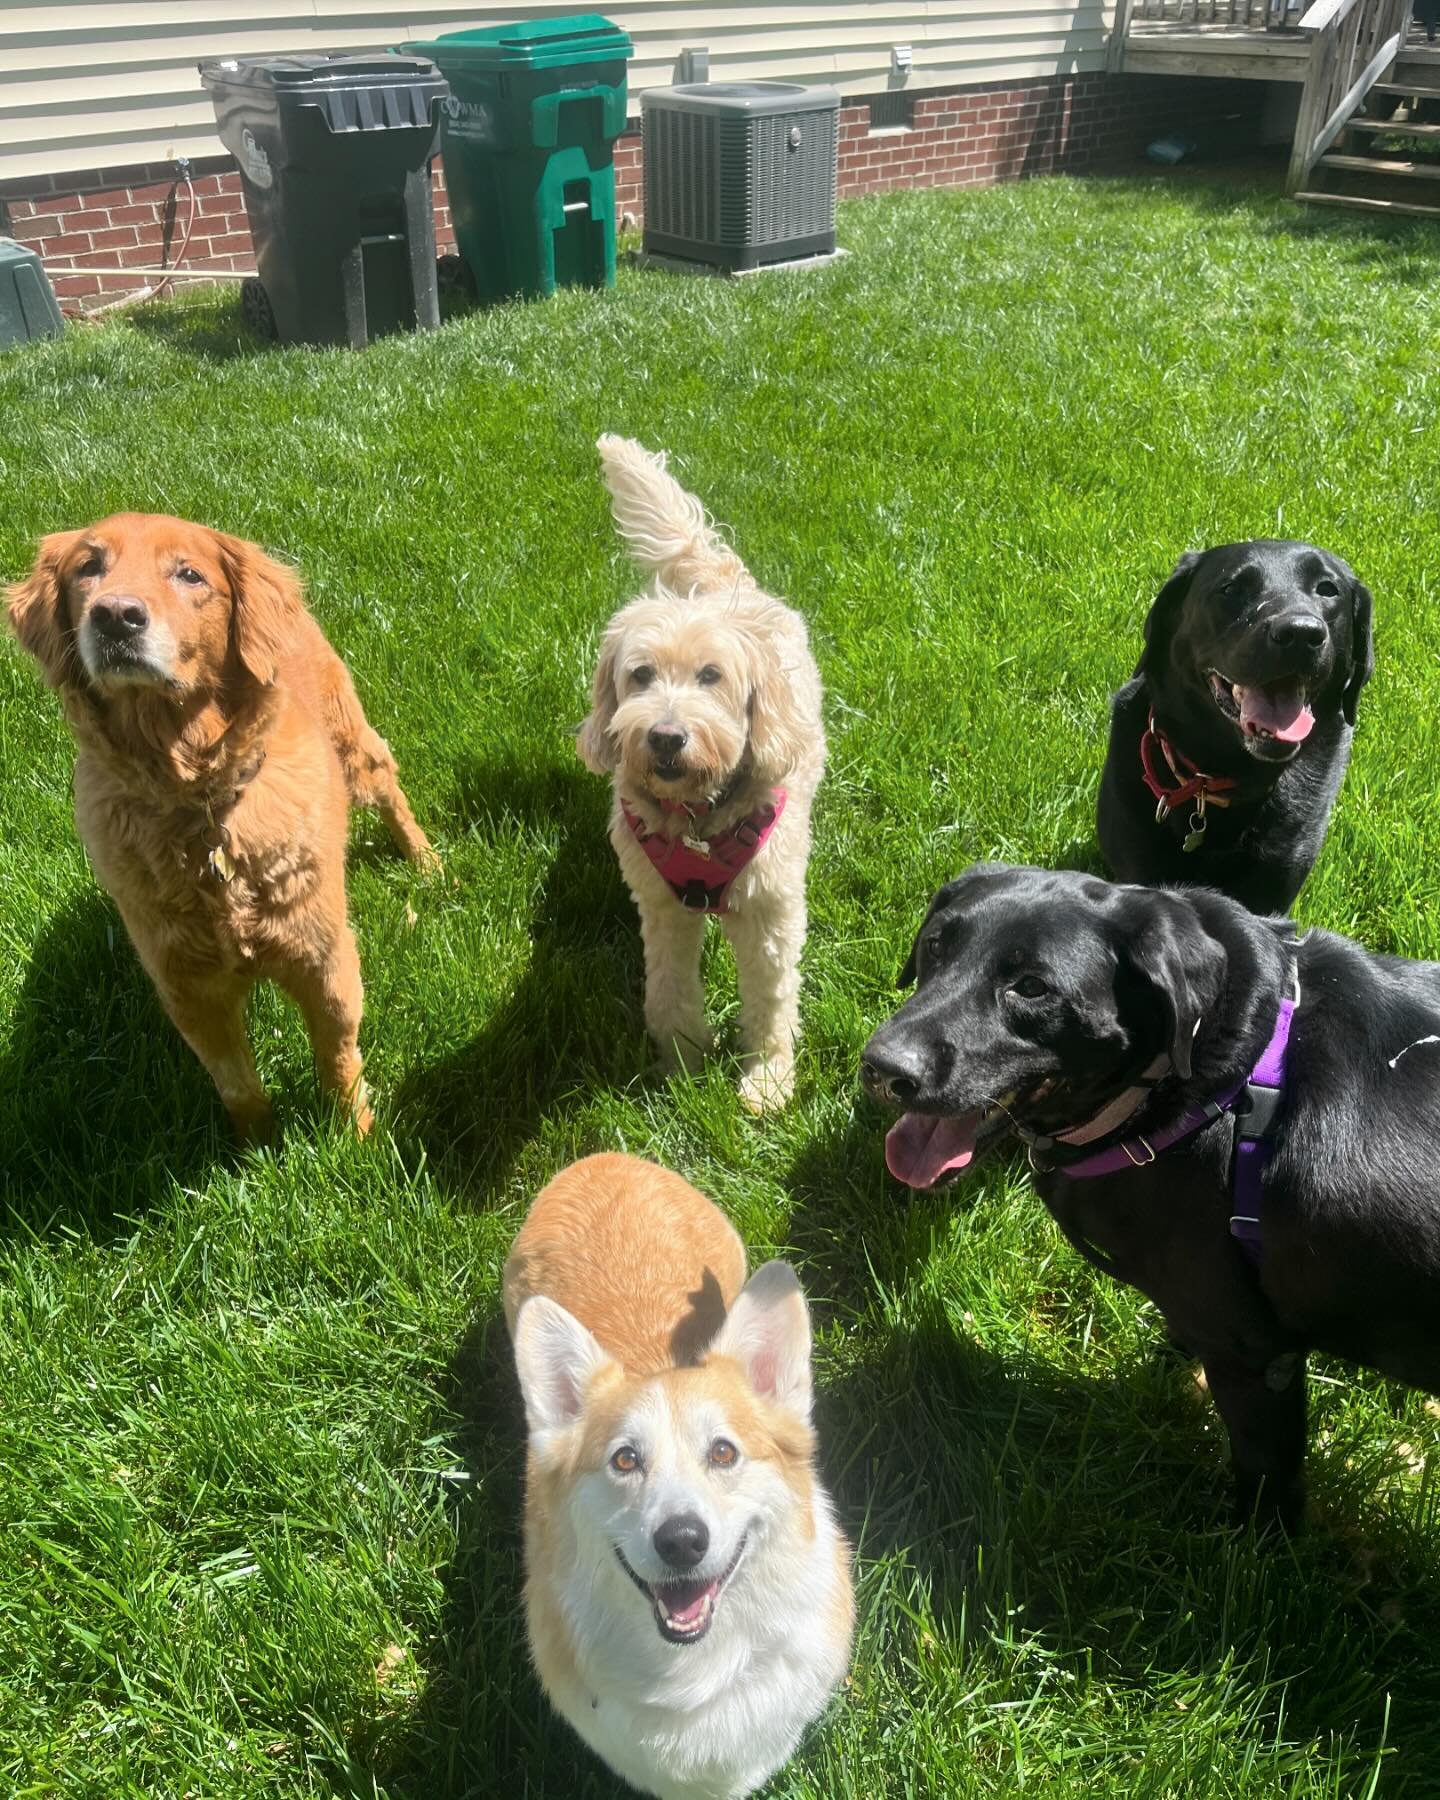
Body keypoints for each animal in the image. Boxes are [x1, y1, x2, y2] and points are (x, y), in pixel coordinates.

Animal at [572, 439, 820, 1108]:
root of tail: (715, 580)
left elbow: (771, 998)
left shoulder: (769, 910)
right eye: (640, 675)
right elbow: (668, 988)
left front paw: (767, 1078)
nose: (665, 736)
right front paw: (682, 1063)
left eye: (711, 675)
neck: (697, 818)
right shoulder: (661, 904)